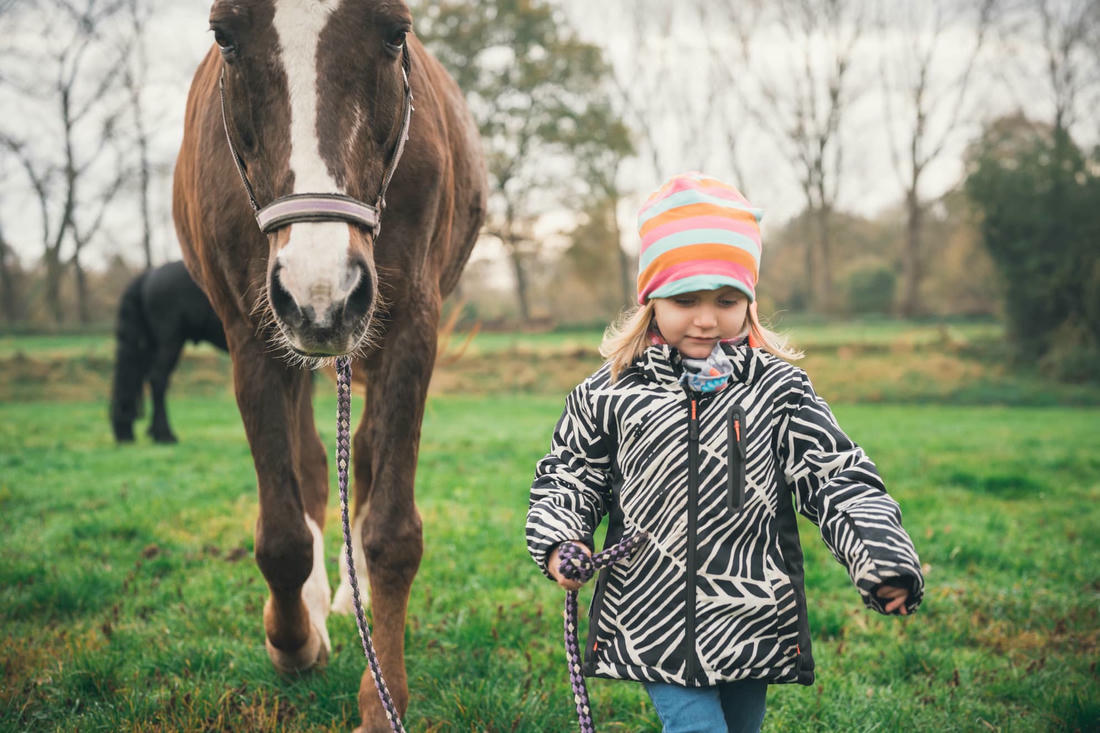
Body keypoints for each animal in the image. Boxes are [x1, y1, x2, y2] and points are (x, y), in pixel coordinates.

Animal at [170, 2, 486, 726]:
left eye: (395, 32)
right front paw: (293, 641)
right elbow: (284, 531)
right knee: (313, 468)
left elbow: (392, 530)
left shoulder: (410, 324)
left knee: (359, 458)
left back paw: (348, 594)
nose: (323, 291)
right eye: (225, 35)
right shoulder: (252, 333)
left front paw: (383, 696)